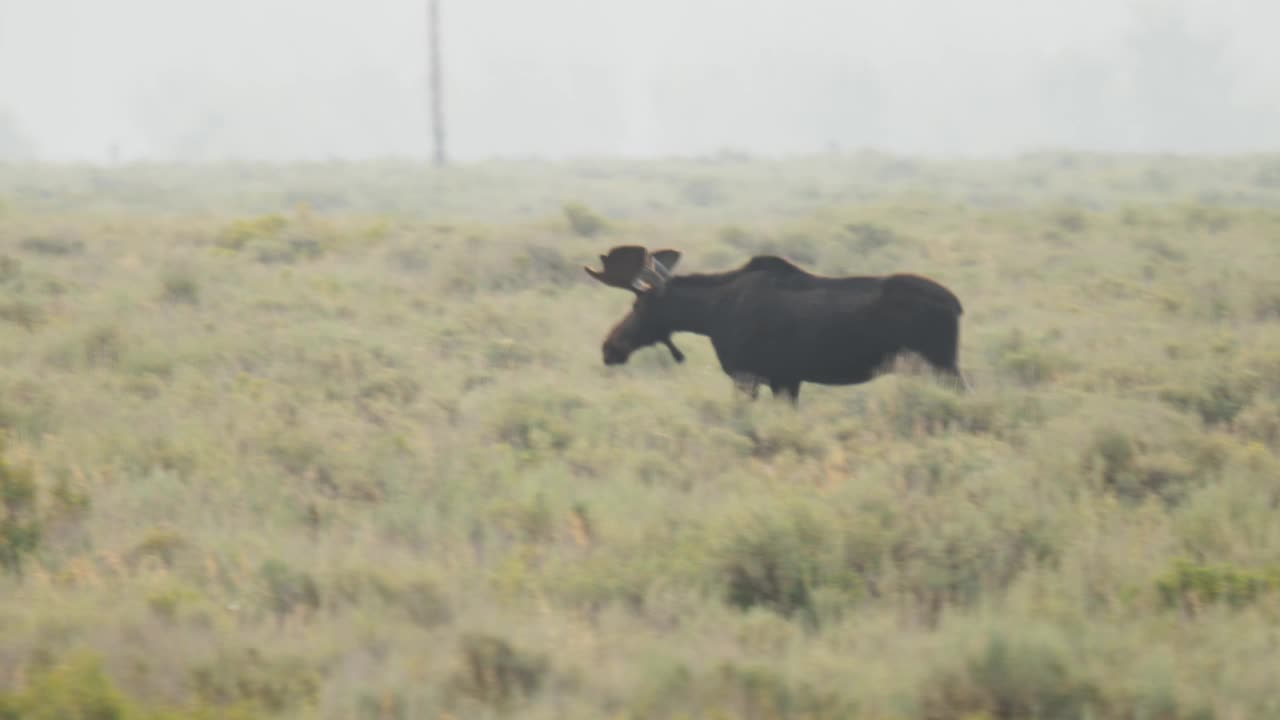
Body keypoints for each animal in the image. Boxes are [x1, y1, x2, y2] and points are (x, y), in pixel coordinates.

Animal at [586, 244, 967, 404]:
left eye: (638, 304)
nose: (609, 347)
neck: (710, 316)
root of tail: (957, 305)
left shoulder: (748, 375)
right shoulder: (787, 379)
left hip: (942, 365)